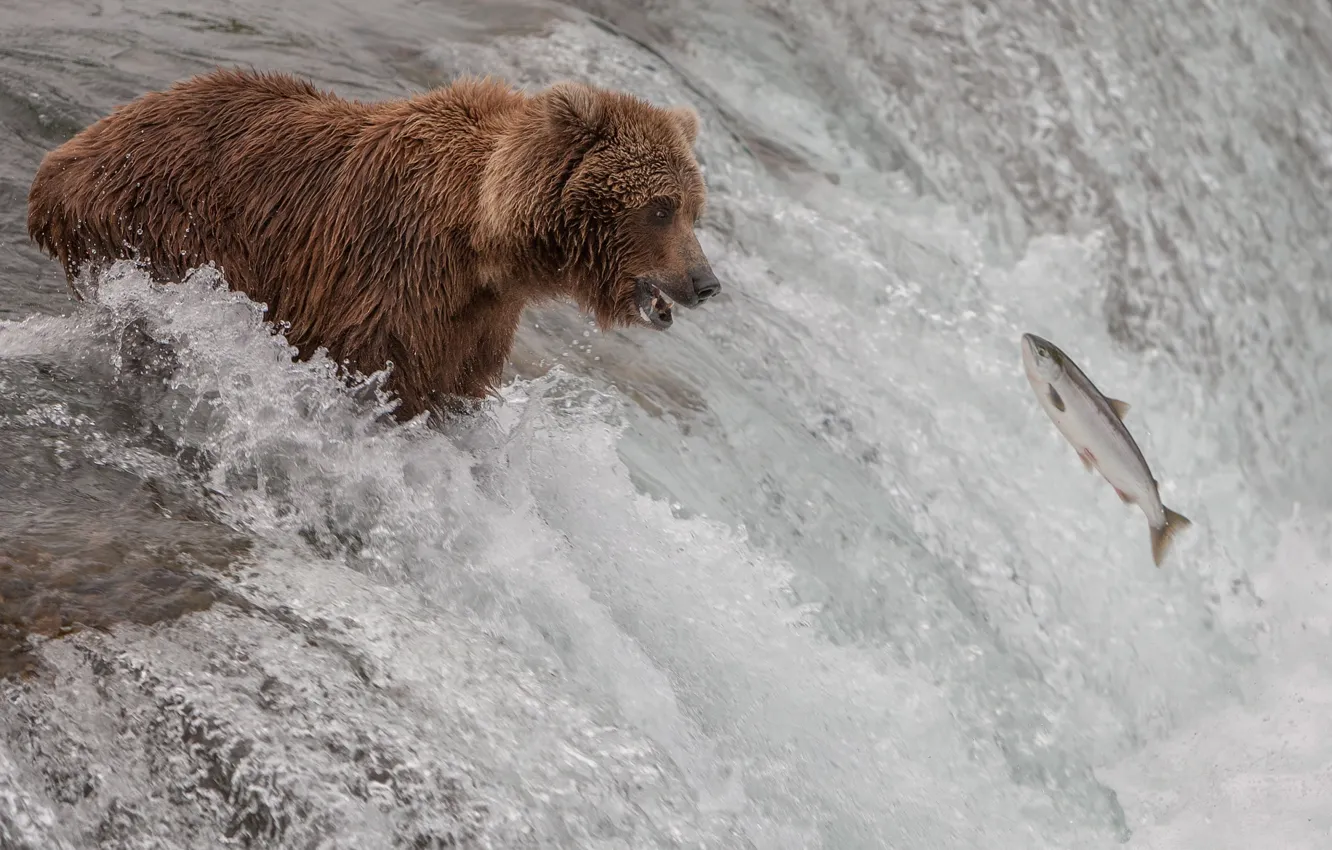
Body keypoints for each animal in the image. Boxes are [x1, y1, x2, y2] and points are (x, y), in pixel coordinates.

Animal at [25, 68, 724, 421]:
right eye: (660, 208)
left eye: (694, 208)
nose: (706, 283)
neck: (485, 243)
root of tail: (60, 162)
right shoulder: (389, 274)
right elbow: (374, 369)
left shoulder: (476, 321)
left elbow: (452, 389)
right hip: (161, 227)